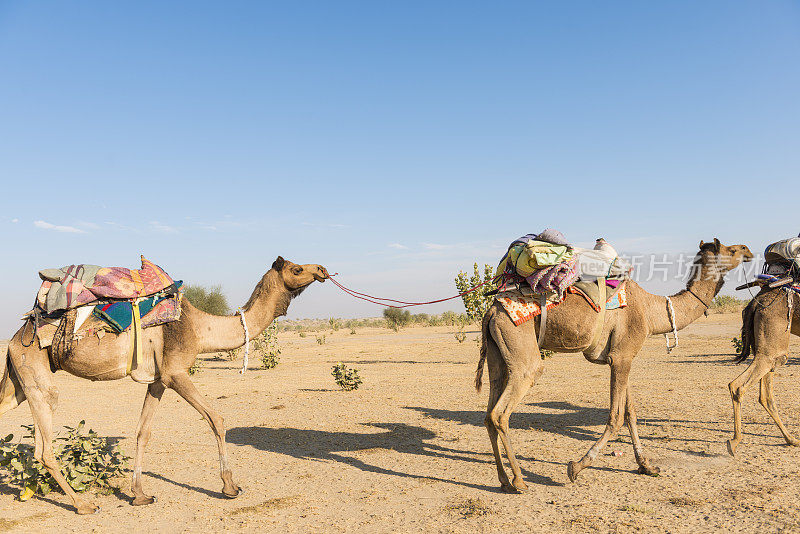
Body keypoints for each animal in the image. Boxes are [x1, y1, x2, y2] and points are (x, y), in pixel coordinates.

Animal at [0, 258, 324, 516]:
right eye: (297, 268)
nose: (321, 269)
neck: (201, 328)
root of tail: (16, 337)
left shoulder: (157, 381)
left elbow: (143, 432)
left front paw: (140, 495)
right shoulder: (175, 373)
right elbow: (216, 420)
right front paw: (230, 487)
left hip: (19, 384)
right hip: (36, 373)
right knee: (44, 448)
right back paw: (84, 504)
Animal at [476, 240, 756, 494]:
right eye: (731, 250)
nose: (747, 250)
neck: (650, 310)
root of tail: (491, 312)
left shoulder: (624, 356)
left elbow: (630, 413)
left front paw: (646, 466)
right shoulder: (620, 358)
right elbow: (616, 417)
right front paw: (577, 467)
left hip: (498, 356)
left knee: (489, 413)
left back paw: (503, 480)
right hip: (522, 350)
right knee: (501, 412)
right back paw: (519, 481)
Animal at [724, 286, 800, 454]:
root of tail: (755, 303)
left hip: (766, 349)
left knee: (765, 396)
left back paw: (791, 439)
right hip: (773, 346)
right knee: (738, 385)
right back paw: (735, 441)